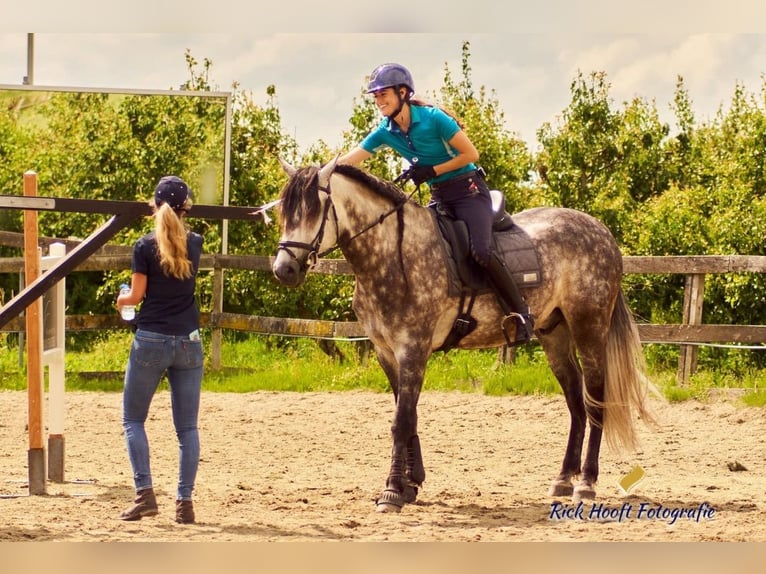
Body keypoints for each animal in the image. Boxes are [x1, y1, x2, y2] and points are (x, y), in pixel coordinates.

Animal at [272, 156, 656, 513]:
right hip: (554, 333)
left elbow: (401, 421)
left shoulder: (413, 348)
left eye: (314, 210)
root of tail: (600, 230)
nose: (283, 269)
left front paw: (392, 491)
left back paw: (586, 483)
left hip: (589, 328)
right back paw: (563, 479)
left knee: (595, 400)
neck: (394, 253)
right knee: (576, 401)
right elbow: (408, 415)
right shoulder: (386, 352)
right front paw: (412, 484)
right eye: (285, 212)